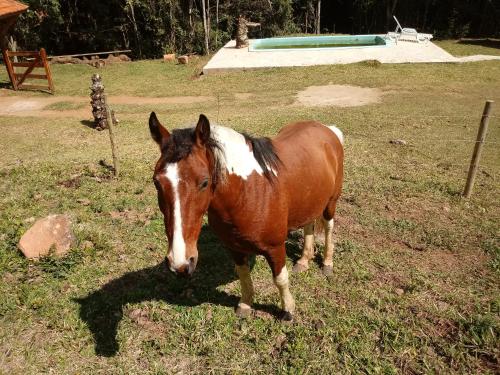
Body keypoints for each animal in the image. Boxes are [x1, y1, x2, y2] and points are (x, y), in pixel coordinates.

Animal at [148, 112, 344, 320]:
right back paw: (303, 261)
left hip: (330, 203)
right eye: (156, 182)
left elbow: (280, 279)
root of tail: (327, 129)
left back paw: (327, 263)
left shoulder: (275, 248)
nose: (180, 263)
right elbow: (243, 275)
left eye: (204, 182)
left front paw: (287, 310)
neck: (248, 191)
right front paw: (245, 304)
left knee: (329, 227)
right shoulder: (234, 246)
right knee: (309, 225)